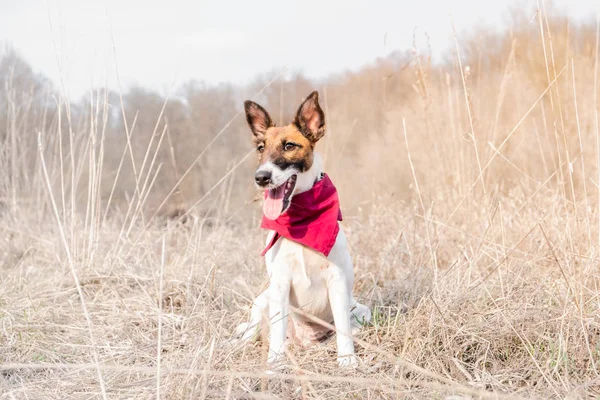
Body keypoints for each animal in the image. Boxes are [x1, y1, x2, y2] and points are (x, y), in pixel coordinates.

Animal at [236, 91, 370, 368]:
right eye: (260, 148)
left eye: (289, 146)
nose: (261, 177)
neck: (301, 223)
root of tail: (306, 340)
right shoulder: (279, 284)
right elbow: (276, 333)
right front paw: (274, 365)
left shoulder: (337, 282)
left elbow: (343, 330)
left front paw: (347, 360)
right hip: (262, 300)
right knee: (254, 332)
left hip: (361, 310)